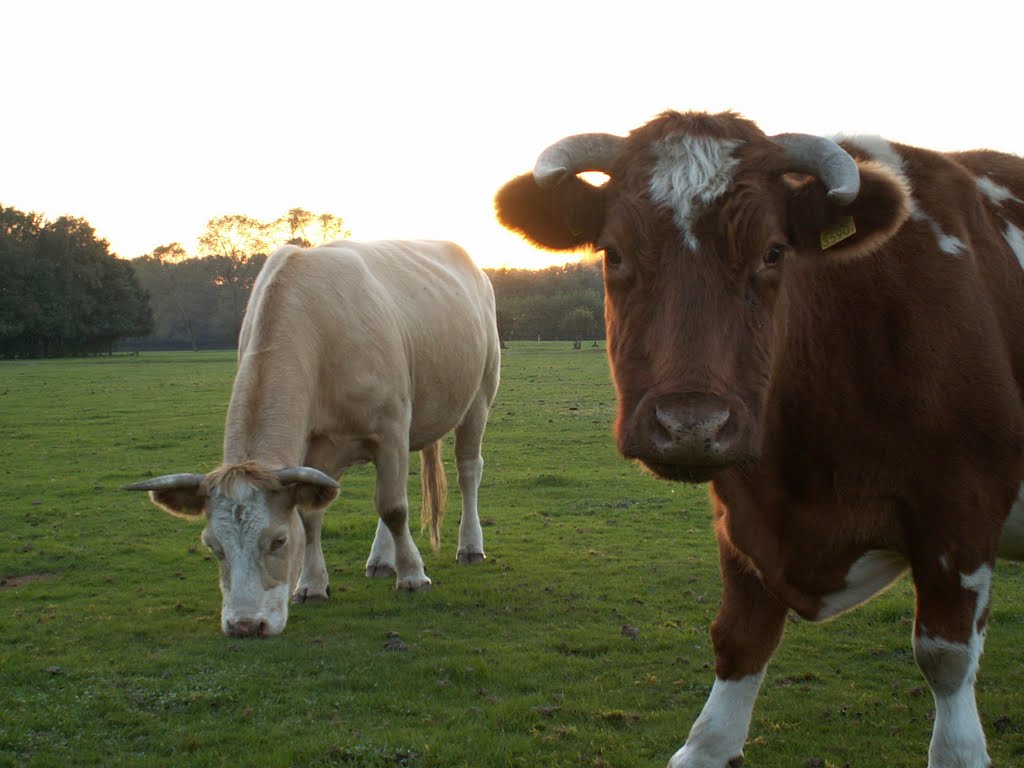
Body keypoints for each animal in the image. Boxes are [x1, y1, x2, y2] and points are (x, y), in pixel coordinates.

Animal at [125, 240, 501, 638]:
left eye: (278, 540)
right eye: (213, 546)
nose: (245, 625)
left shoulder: (391, 429)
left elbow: (394, 507)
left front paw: (413, 576)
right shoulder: (314, 454)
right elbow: (312, 517)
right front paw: (311, 585)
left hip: (479, 396)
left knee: (466, 470)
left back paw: (470, 546)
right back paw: (381, 560)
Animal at [495, 112, 1024, 768]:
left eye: (774, 251)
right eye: (613, 252)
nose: (691, 425)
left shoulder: (963, 513)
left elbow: (947, 661)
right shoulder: (743, 518)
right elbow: (737, 644)